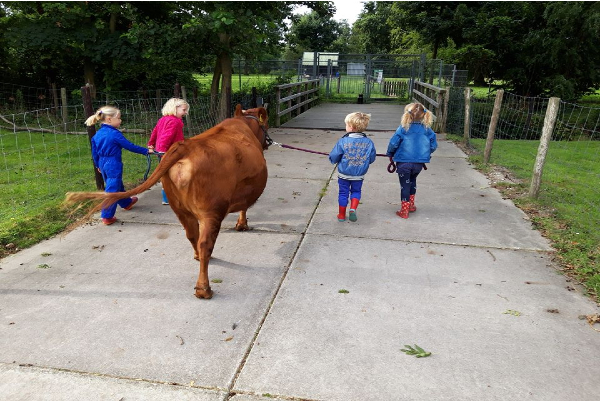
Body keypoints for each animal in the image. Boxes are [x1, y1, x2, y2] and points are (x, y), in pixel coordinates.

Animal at [66, 104, 270, 298]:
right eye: (265, 126)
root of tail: (184, 146)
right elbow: (245, 207)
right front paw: (242, 224)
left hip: (180, 209)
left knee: (192, 235)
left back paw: (197, 257)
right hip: (211, 211)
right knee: (204, 243)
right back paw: (204, 289)